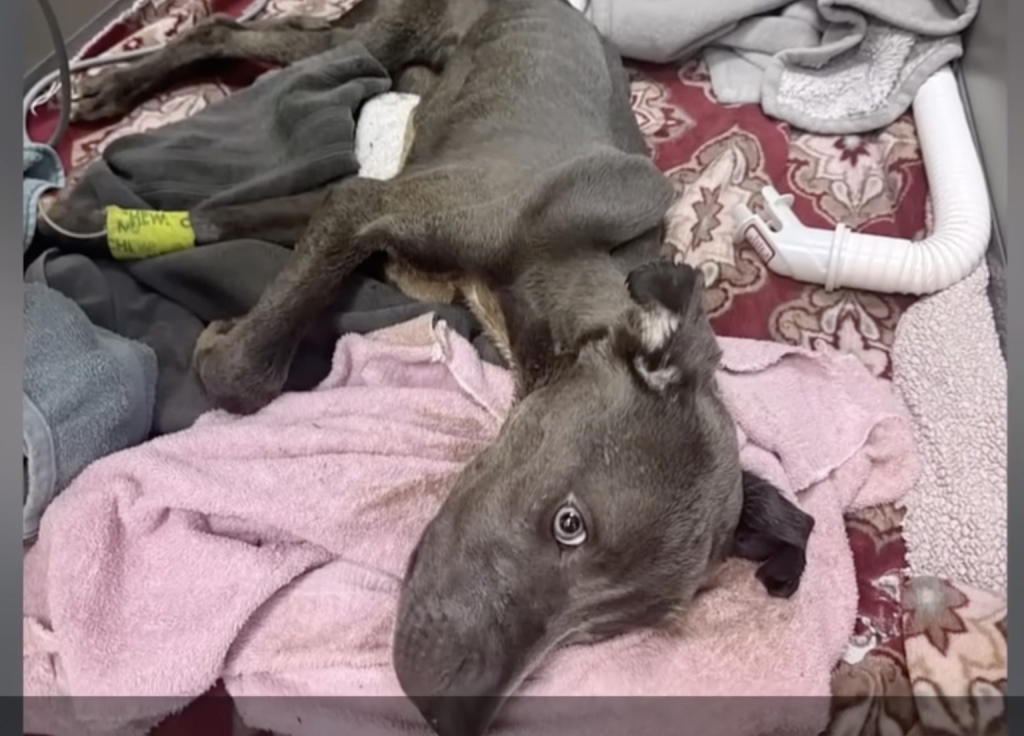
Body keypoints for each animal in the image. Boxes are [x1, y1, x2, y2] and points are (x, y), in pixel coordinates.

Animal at [71, 1, 815, 733]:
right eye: (569, 523)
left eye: (604, 628)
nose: (447, 719)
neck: (570, 259)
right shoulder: (373, 207)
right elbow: (246, 366)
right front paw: (97, 229)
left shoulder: (365, 208)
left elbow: (222, 218)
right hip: (378, 39)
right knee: (231, 30)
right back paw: (112, 88)